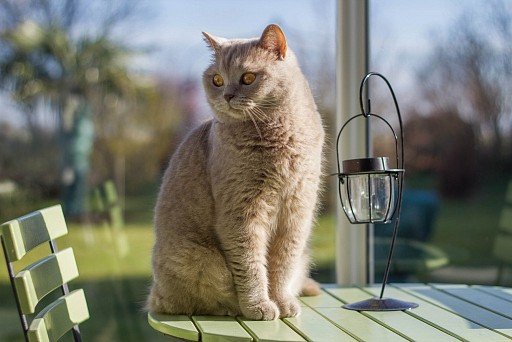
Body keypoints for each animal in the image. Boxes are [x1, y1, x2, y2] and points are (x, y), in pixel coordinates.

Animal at [148, 24, 324, 320]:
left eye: (248, 77)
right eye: (217, 80)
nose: (227, 95)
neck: (277, 139)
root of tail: (155, 296)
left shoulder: (297, 211)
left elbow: (282, 265)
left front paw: (282, 301)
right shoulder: (241, 213)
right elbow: (251, 265)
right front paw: (260, 306)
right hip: (201, 260)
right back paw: (231, 308)